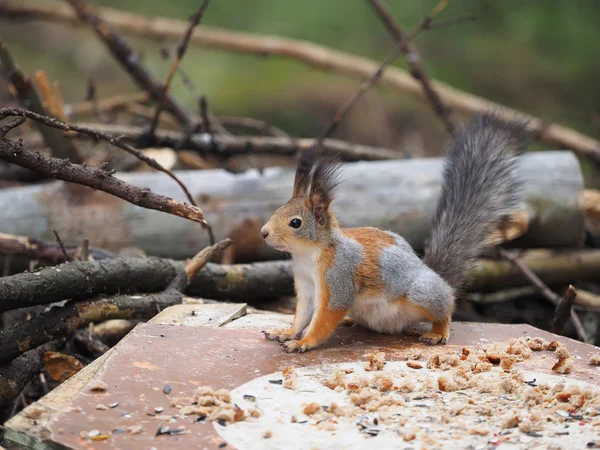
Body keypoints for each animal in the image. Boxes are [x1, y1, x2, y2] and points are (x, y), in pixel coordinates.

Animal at [260, 112, 528, 352]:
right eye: (277, 210)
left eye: (295, 223)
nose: (264, 233)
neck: (309, 254)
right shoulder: (306, 286)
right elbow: (303, 314)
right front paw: (286, 332)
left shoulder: (339, 277)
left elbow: (324, 318)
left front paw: (304, 342)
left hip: (423, 293)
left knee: (446, 306)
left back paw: (438, 332)